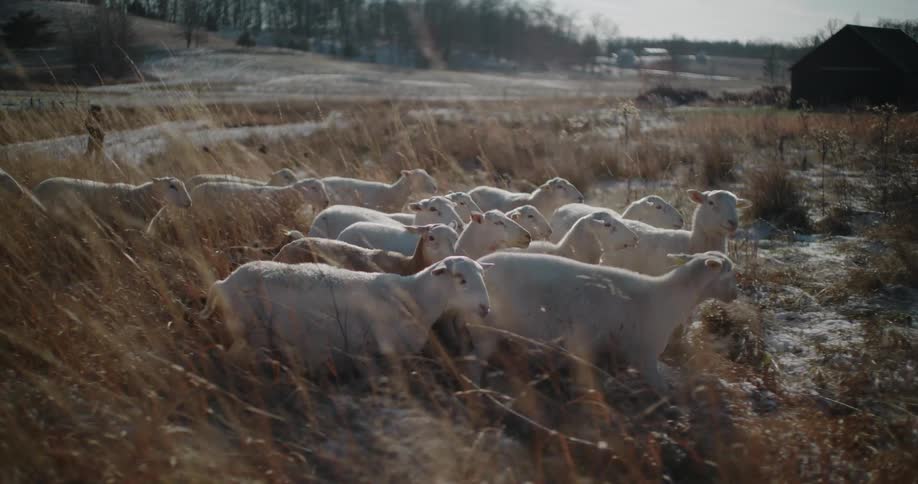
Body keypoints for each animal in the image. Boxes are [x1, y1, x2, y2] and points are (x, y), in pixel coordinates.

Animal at [199, 256, 493, 370]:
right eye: (461, 279)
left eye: (482, 275)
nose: (485, 308)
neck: (415, 297)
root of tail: (223, 283)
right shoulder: (387, 352)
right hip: (252, 334)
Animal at [465, 251, 738, 390]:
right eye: (729, 273)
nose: (736, 295)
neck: (669, 297)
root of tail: (480, 262)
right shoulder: (645, 353)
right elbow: (660, 389)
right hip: (486, 326)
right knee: (476, 361)